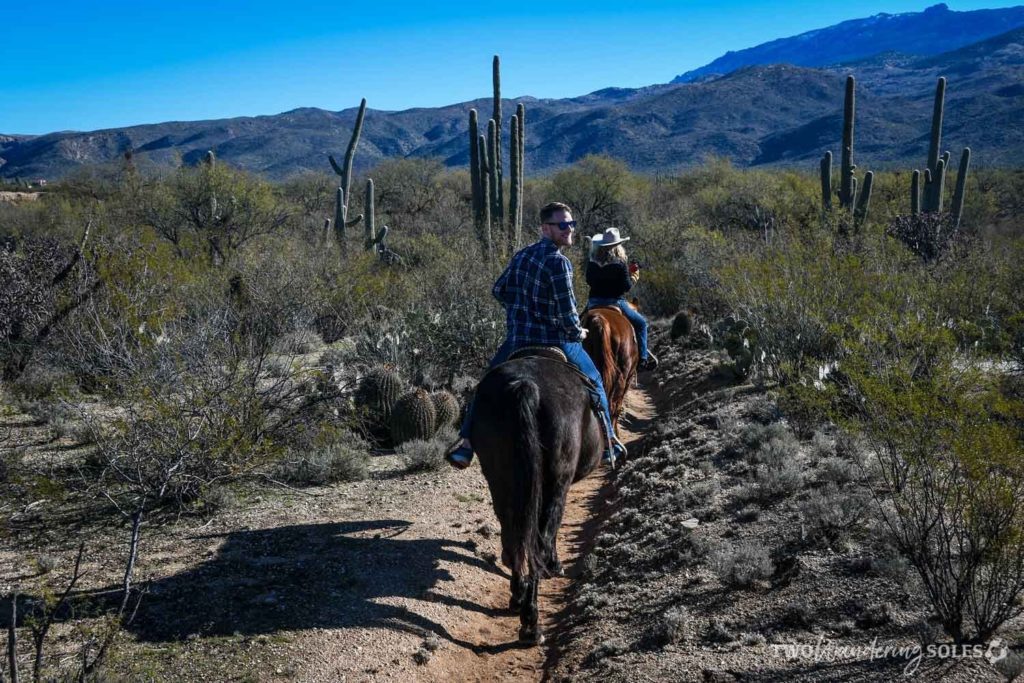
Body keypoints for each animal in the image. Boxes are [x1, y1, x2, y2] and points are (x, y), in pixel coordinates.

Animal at [468, 358, 602, 647]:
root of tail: (525, 385)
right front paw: (555, 564)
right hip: (555, 483)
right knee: (538, 542)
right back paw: (532, 624)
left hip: (500, 479)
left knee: (514, 535)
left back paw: (518, 596)